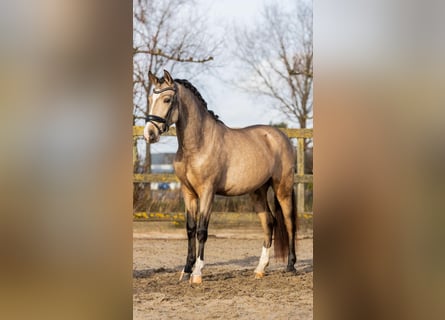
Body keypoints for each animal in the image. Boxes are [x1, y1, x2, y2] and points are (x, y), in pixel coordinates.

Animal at [143, 69, 294, 282]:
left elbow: (201, 231)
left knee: (289, 222)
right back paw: (260, 269)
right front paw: (186, 270)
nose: (149, 134)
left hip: (283, 189)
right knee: (269, 222)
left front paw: (197, 273)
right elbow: (190, 229)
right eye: (150, 98)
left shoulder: (207, 192)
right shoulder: (188, 193)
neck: (199, 144)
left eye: (167, 99)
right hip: (258, 192)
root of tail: (280, 136)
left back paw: (291, 265)